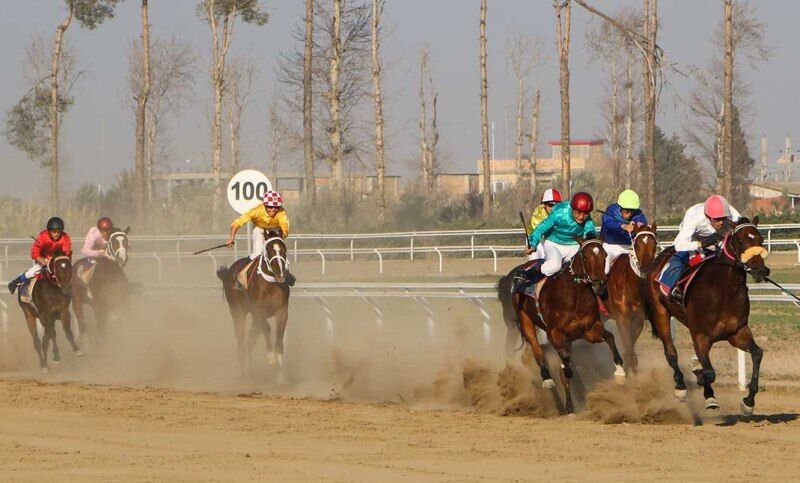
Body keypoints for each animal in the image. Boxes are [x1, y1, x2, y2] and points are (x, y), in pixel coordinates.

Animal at [217, 229, 292, 380]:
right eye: (269, 250)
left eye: (284, 249)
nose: (280, 273)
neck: (271, 283)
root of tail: (227, 274)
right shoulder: (259, 309)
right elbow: (267, 329)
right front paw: (271, 356)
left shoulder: (282, 310)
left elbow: (279, 336)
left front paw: (281, 373)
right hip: (237, 311)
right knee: (241, 338)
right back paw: (243, 373)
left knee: (250, 339)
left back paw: (249, 371)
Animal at [512, 236, 624, 414]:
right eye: (584, 256)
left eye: (605, 255)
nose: (599, 284)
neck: (574, 295)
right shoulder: (554, 332)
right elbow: (564, 361)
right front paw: (566, 371)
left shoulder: (589, 329)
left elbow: (610, 337)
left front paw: (620, 371)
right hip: (525, 319)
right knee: (538, 351)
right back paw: (548, 380)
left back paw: (569, 405)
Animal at [604, 223, 660, 374]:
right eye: (637, 243)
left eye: (654, 243)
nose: (645, 267)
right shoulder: (622, 319)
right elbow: (627, 346)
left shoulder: (638, 320)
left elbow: (630, 347)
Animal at [636, 217, 768, 414]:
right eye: (740, 241)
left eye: (760, 238)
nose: (760, 270)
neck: (723, 291)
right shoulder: (700, 336)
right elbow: (709, 372)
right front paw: (701, 383)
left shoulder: (737, 333)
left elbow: (757, 354)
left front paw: (748, 401)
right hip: (660, 313)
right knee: (671, 352)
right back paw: (681, 387)